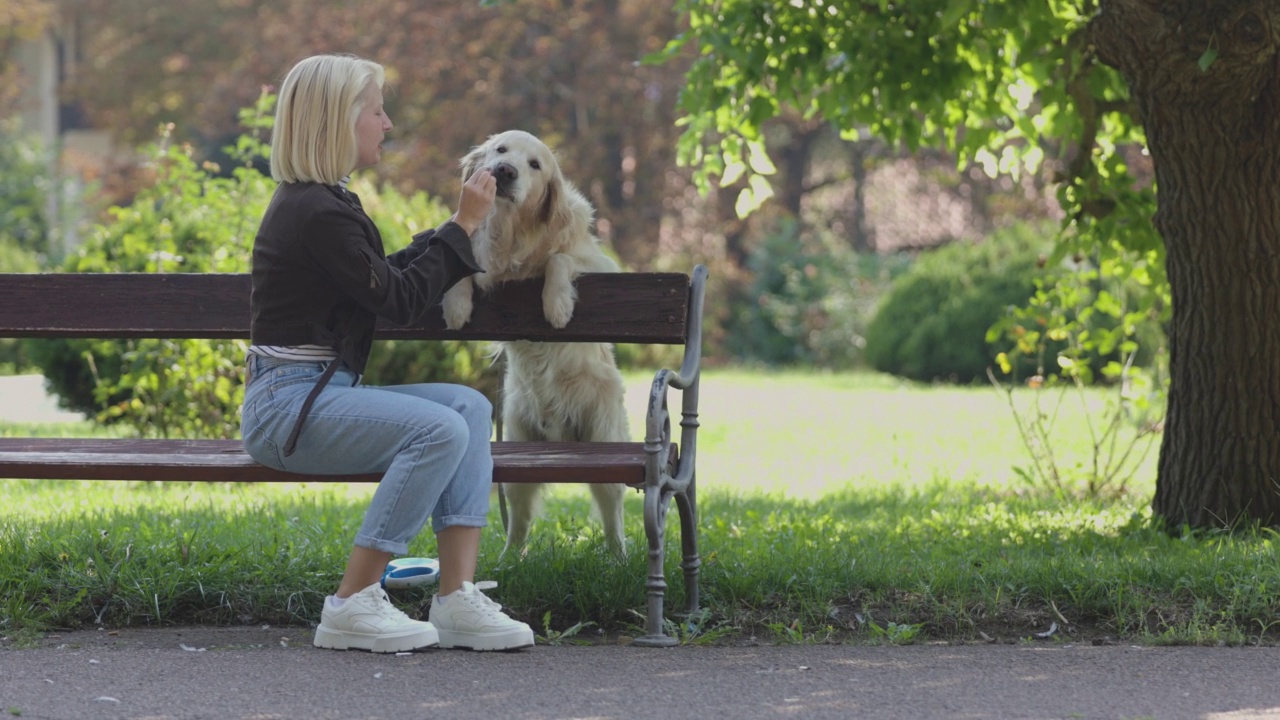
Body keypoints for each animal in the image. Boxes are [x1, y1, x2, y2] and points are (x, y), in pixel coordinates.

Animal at [442, 128, 632, 556]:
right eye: (500, 150)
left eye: (535, 165)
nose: (505, 170)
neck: (514, 232)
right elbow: (461, 261)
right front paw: (456, 306)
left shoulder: (599, 263)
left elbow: (559, 259)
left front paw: (557, 304)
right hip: (518, 438)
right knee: (519, 516)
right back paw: (509, 559)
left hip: (604, 438)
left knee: (612, 509)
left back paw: (619, 557)